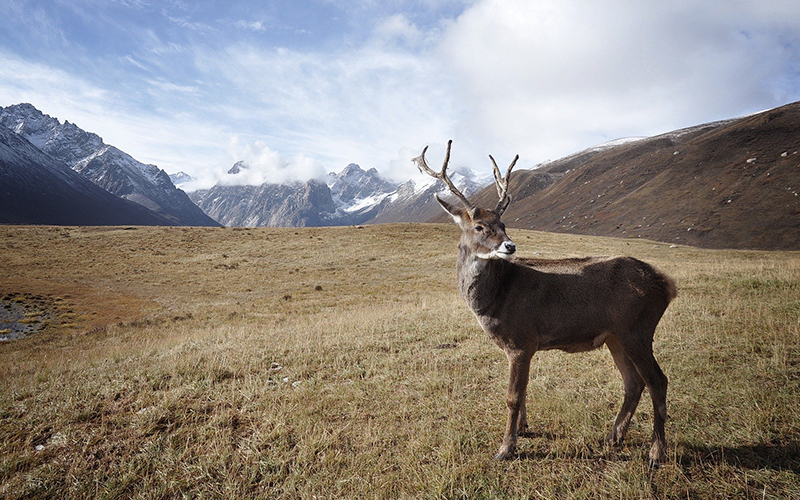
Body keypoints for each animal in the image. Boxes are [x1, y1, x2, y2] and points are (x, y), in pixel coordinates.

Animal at [416, 142, 680, 468]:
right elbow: (524, 390)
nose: (510, 246)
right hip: (616, 336)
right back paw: (613, 437)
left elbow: (513, 396)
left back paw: (657, 452)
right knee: (634, 382)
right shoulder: (524, 346)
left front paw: (505, 448)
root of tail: (667, 284)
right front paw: (523, 429)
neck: (495, 299)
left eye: (503, 223)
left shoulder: (521, 339)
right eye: (479, 226)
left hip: (638, 328)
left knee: (658, 381)